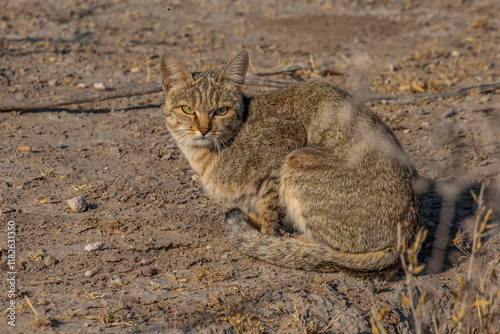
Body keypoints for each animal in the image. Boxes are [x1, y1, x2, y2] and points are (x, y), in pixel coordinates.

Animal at [160, 49, 422, 276]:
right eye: (188, 109)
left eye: (221, 111)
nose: (204, 130)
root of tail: (406, 241)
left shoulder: (288, 139)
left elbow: (270, 209)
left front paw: (266, 238)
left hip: (299, 159)